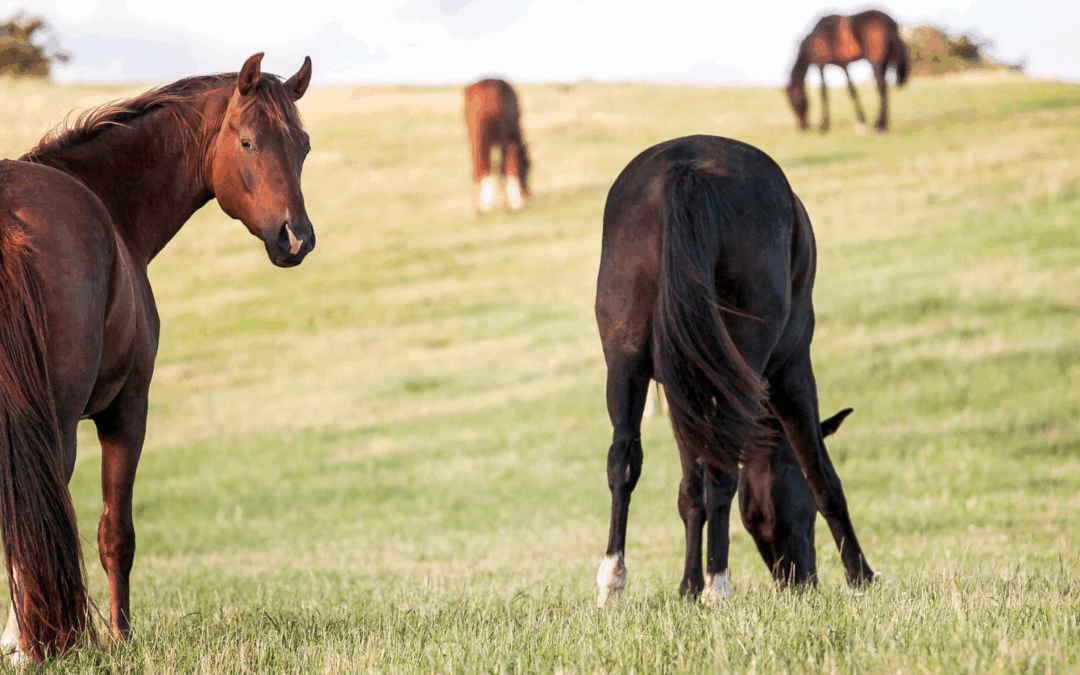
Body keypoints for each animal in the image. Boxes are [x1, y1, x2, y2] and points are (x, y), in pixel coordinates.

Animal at [0, 52, 314, 662]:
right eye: (247, 142)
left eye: (304, 145)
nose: (297, 238)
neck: (109, 204)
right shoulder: (128, 408)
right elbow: (114, 534)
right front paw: (119, 637)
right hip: (59, 423)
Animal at [463, 78, 531, 214]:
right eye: (528, 167)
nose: (528, 194)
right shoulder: (509, 139)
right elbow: (508, 166)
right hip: (498, 136)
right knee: (498, 167)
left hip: (477, 137)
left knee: (480, 167)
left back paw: (477, 209)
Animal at [594, 135, 873, 606]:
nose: (802, 580)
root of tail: (685, 167)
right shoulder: (792, 372)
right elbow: (821, 473)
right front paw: (861, 576)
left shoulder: (680, 391)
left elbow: (690, 490)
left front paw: (687, 586)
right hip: (751, 360)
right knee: (724, 469)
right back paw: (718, 585)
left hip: (625, 360)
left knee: (624, 460)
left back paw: (613, 582)